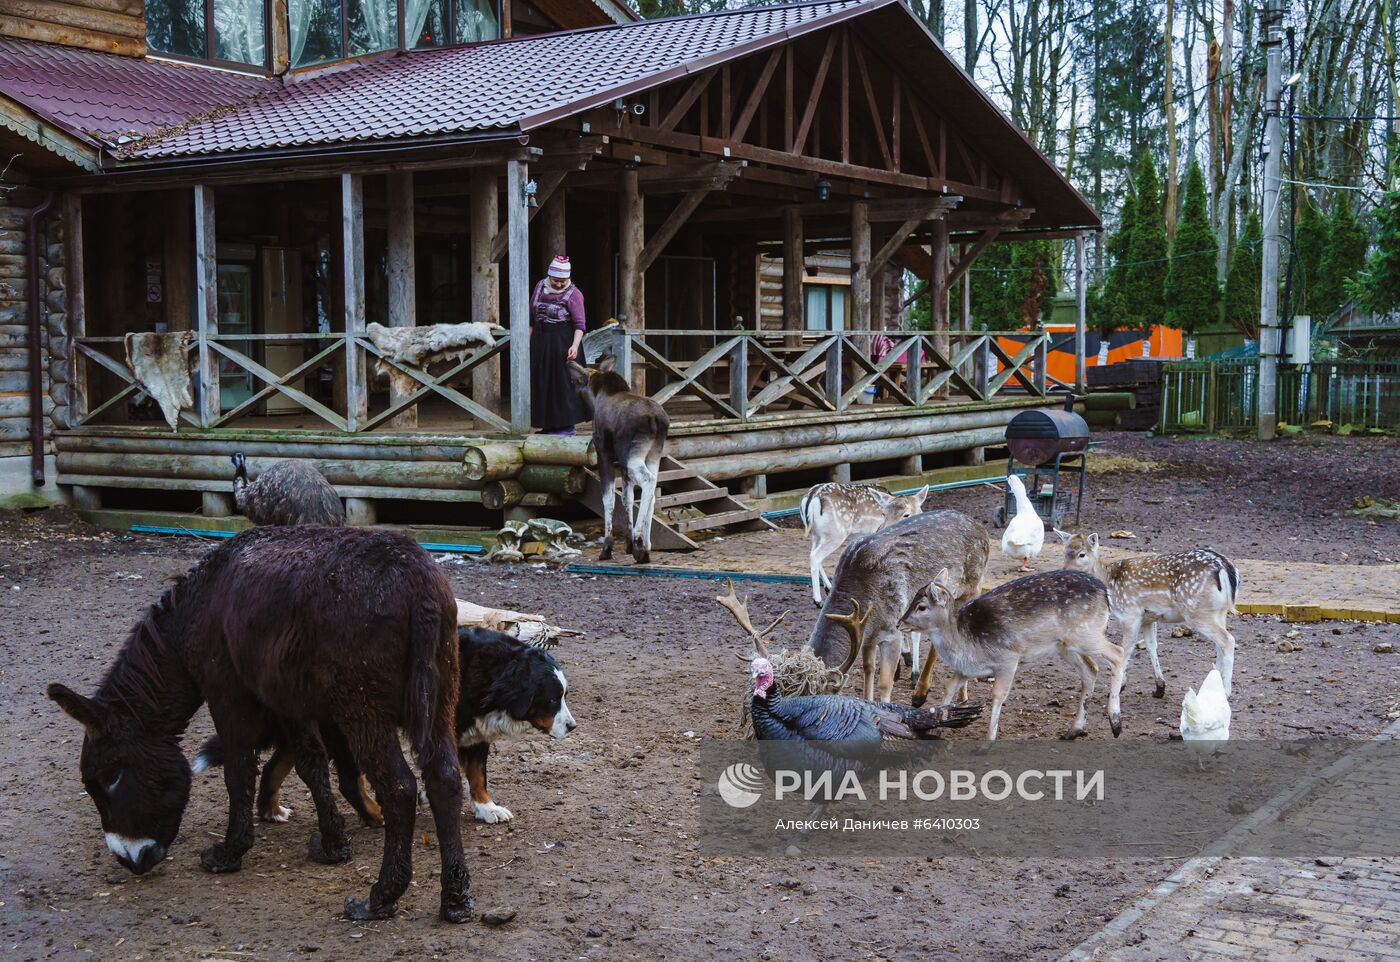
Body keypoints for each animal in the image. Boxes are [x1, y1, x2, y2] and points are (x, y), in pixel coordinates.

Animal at [46, 526, 473, 924]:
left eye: (111, 778)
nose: (130, 861)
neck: (195, 612)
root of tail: (417, 584)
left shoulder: (229, 695)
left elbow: (238, 774)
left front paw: (229, 852)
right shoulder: (286, 700)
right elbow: (310, 765)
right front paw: (332, 845)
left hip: (364, 707)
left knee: (399, 788)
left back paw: (381, 897)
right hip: (441, 695)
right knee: (444, 779)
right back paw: (455, 899)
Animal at [191, 627, 574, 823]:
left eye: (564, 694)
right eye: (552, 699)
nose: (571, 726)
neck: (489, 674)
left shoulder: (474, 735)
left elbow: (478, 777)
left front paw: (486, 807)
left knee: (275, 768)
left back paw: (271, 811)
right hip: (343, 731)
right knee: (349, 781)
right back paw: (377, 814)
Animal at [574, 354, 672, 565]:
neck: (599, 395)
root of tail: (656, 420)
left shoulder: (603, 455)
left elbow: (608, 499)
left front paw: (607, 548)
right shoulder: (623, 467)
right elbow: (627, 499)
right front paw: (628, 544)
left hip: (633, 455)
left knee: (648, 481)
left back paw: (640, 542)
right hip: (653, 455)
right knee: (652, 491)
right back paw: (646, 546)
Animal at [800, 484, 929, 604]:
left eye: (906, 514)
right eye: (884, 514)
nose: (885, 529)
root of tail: (812, 497)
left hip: (816, 533)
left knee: (812, 553)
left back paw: (828, 588)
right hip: (835, 533)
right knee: (816, 556)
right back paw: (817, 600)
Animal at [896, 568, 1125, 739]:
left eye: (922, 606)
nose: (899, 623)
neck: (964, 644)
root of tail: (1105, 592)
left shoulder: (1008, 658)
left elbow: (998, 694)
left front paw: (988, 740)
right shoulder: (966, 670)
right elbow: (949, 687)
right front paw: (938, 728)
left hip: (1085, 634)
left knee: (1118, 653)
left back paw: (1115, 723)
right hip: (1066, 645)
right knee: (1091, 670)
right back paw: (1074, 730)